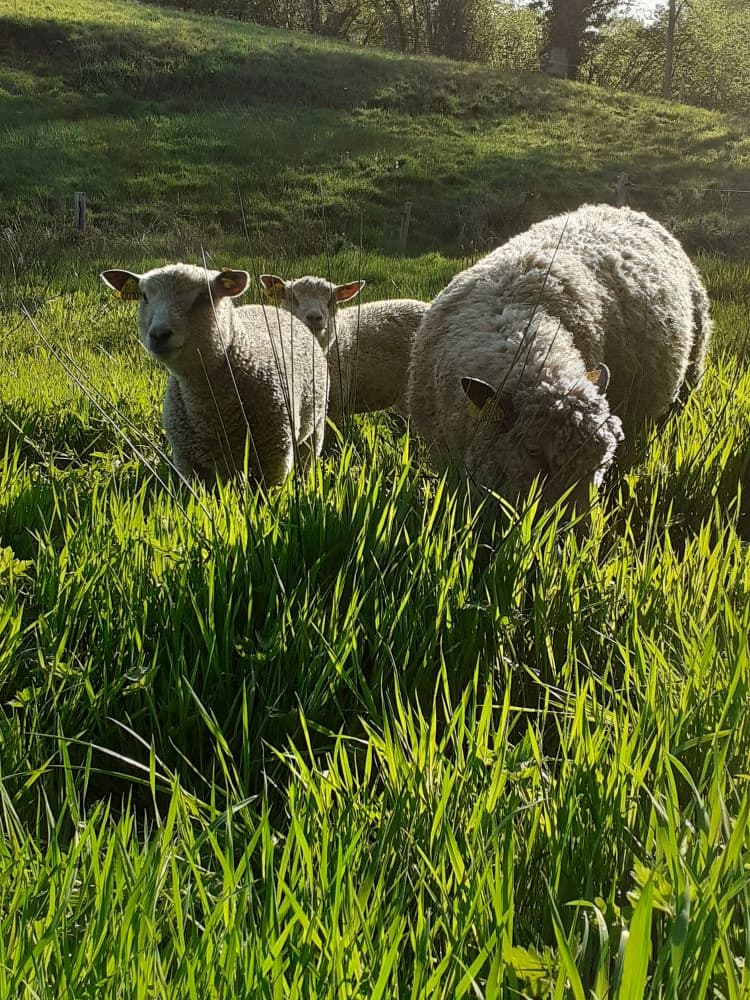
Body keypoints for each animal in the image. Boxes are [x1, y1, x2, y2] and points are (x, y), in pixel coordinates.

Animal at [101, 263, 328, 488]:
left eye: (203, 297)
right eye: (144, 297)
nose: (158, 335)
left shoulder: (275, 460)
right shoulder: (188, 462)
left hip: (315, 425)